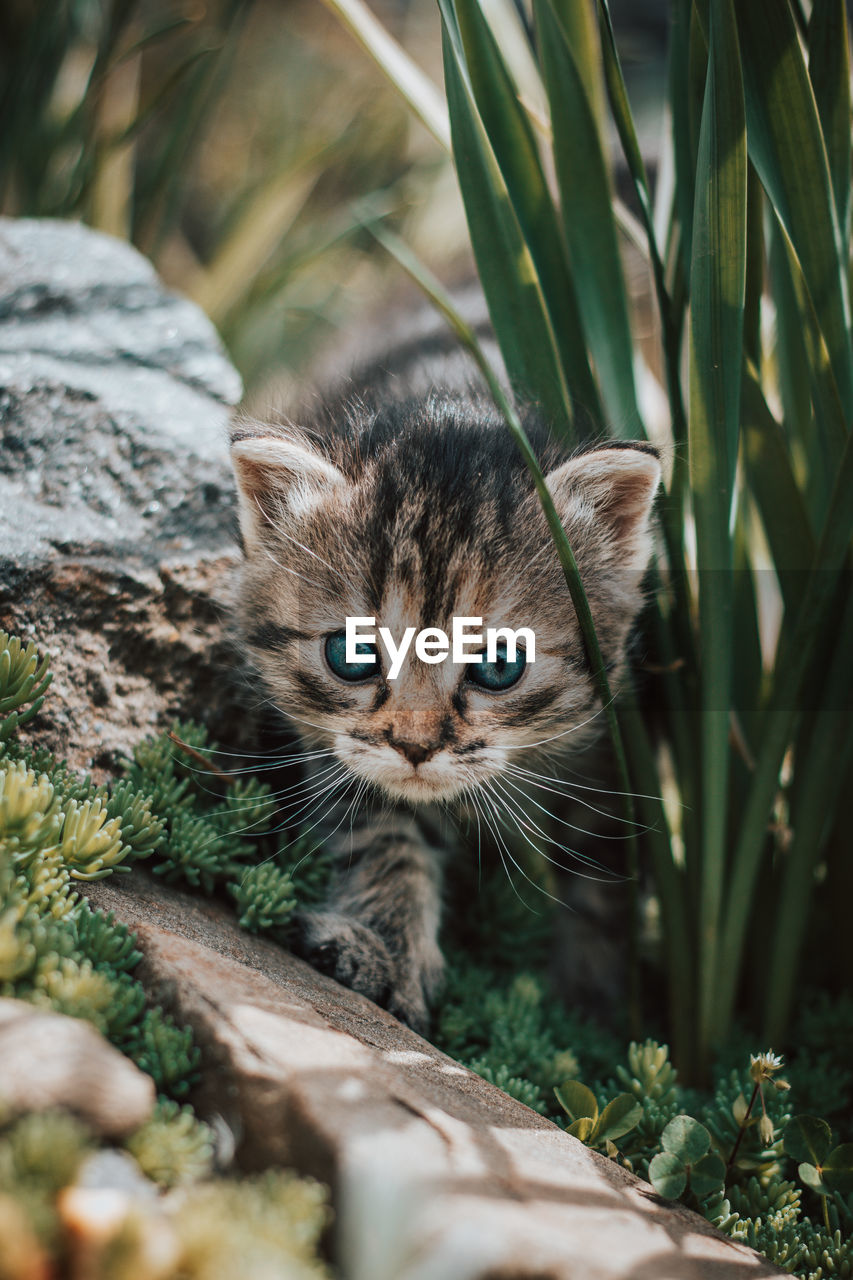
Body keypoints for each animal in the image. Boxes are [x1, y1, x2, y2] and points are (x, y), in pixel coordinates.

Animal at [229, 353, 660, 1039]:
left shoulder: (610, 752)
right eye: (351, 655)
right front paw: (387, 950)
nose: (415, 746)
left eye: (500, 666)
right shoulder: (342, 752)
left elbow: (601, 874)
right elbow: (381, 834)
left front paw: (586, 1006)